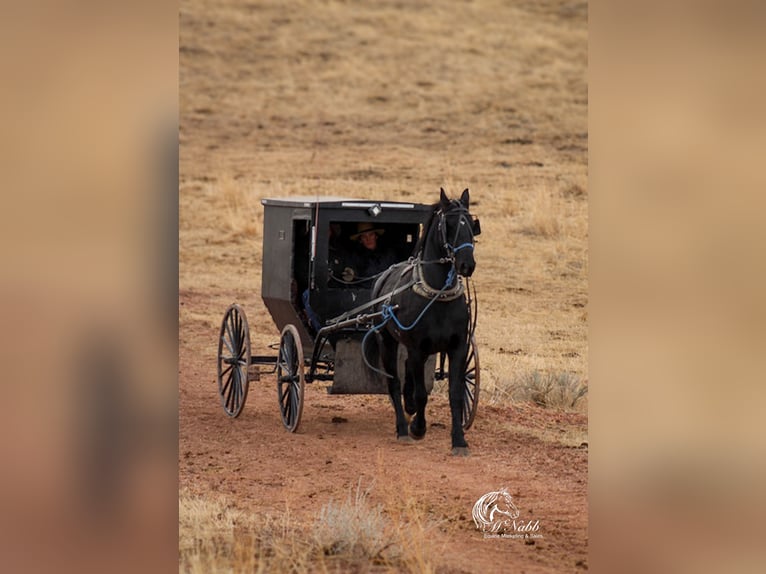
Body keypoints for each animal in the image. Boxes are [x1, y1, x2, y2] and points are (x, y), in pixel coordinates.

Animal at [370, 191, 480, 456]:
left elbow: (455, 394)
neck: (437, 295)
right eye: (448, 224)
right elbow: (421, 394)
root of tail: (383, 277)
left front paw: (459, 441)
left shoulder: (458, 347)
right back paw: (402, 427)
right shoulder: (417, 347)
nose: (466, 264)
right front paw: (417, 428)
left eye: (471, 225)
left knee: (407, 371)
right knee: (394, 381)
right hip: (387, 341)